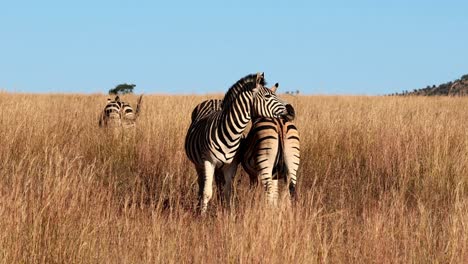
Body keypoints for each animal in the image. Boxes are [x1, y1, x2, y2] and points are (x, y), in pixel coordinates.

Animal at [184, 72, 288, 214]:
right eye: (267, 96)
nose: (289, 110)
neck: (231, 133)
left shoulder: (231, 165)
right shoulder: (209, 161)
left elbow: (228, 191)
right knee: (201, 184)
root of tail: (213, 100)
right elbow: (207, 192)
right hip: (199, 163)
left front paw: (228, 213)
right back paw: (200, 206)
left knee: (219, 184)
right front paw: (203, 215)